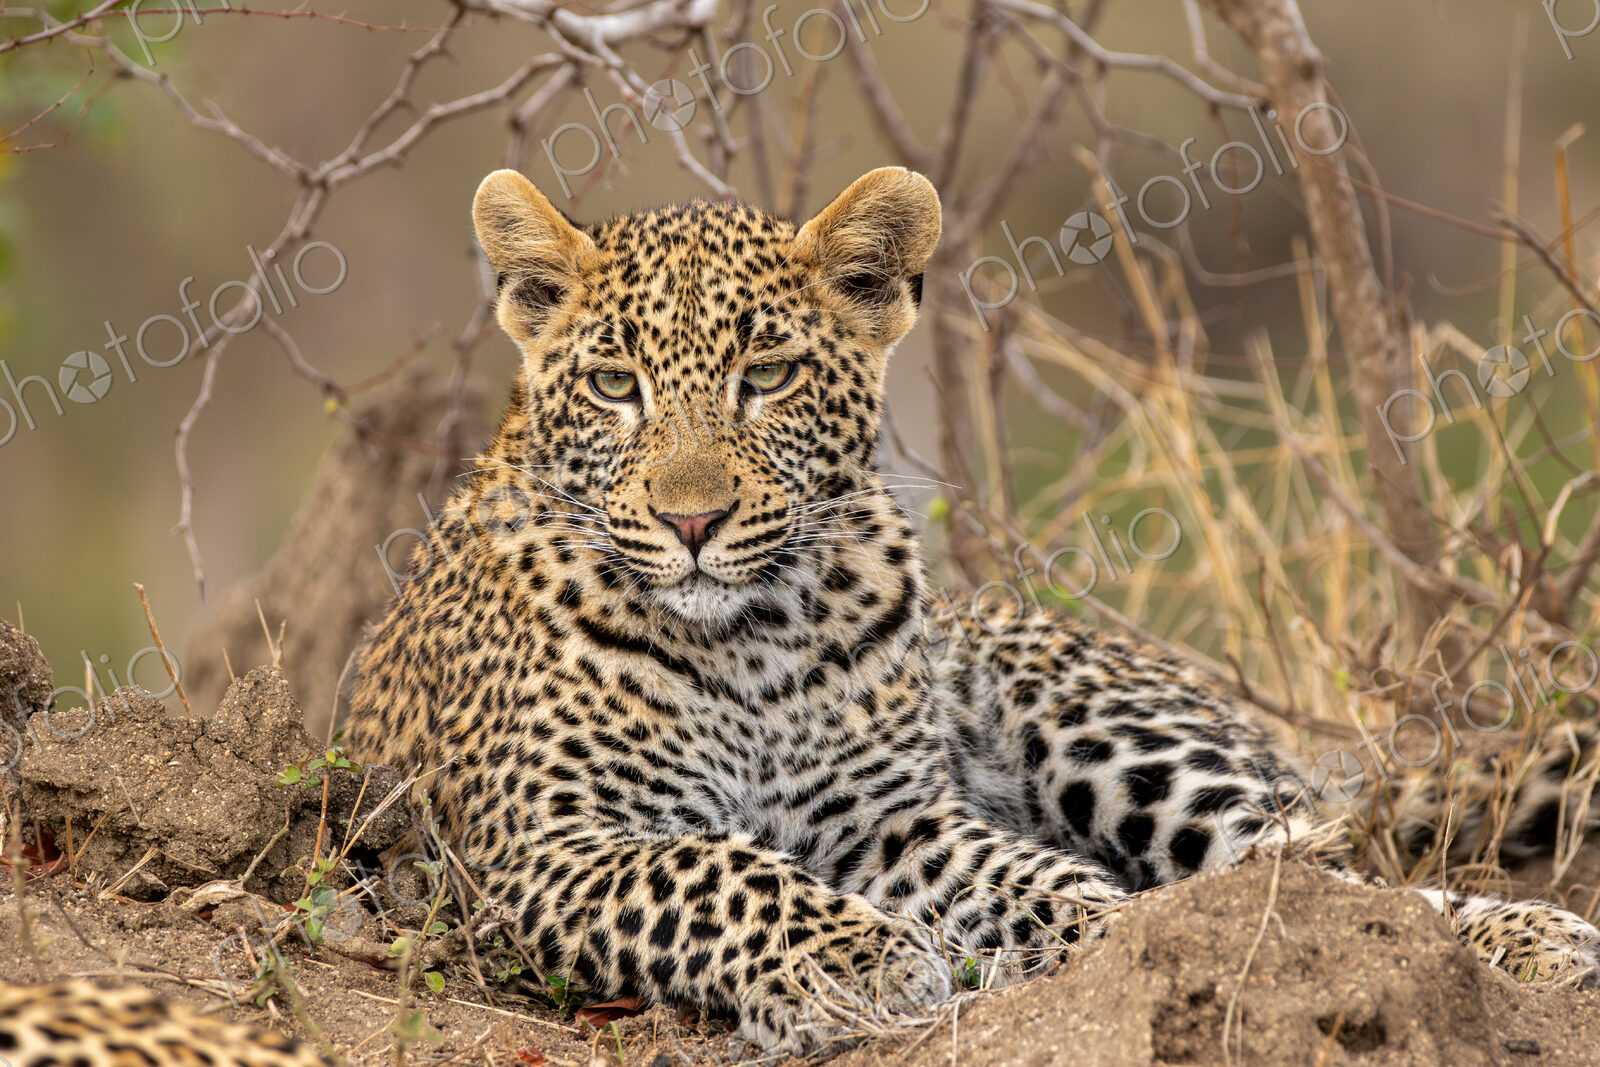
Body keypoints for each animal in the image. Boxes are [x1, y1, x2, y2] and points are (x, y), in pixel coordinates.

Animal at [342, 165, 1600, 1056]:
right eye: (614, 385)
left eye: (768, 376)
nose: (693, 519)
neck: (745, 639)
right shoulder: (542, 842)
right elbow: (717, 870)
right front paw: (863, 961)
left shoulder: (885, 820)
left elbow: (1049, 883)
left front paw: (1102, 947)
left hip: (1099, 728)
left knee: (1304, 857)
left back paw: (1510, 938)